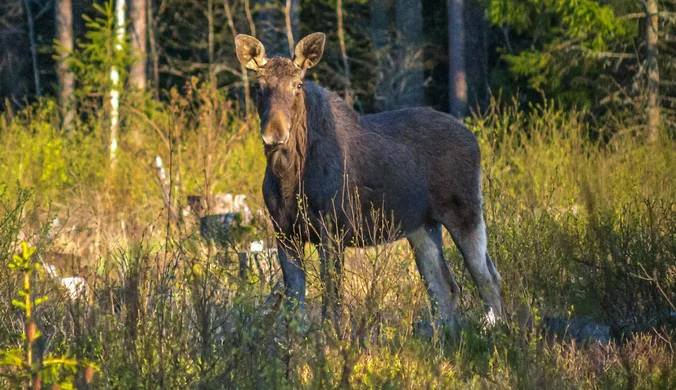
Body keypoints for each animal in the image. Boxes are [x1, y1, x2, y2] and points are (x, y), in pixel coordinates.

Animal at [234, 32, 502, 330]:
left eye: (298, 84)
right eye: (259, 86)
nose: (275, 134)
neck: (288, 176)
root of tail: (474, 138)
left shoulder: (332, 230)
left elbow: (331, 303)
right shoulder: (284, 232)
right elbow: (295, 308)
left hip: (465, 211)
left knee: (488, 278)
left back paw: (494, 330)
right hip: (421, 226)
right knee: (445, 287)